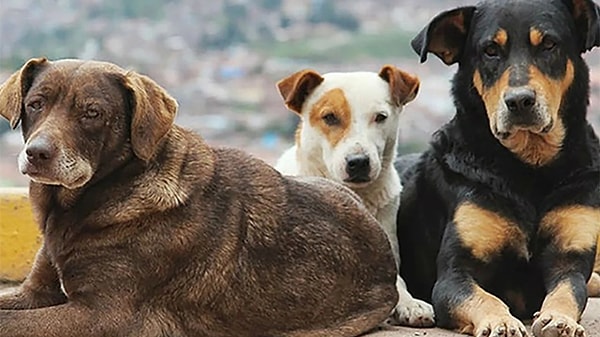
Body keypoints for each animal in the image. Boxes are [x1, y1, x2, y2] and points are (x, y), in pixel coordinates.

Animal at [0, 58, 398, 336]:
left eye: (92, 113)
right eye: (35, 104)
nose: (37, 153)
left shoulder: (99, 315)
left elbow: (7, 322)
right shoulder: (37, 292)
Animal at [398, 0, 600, 336]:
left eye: (549, 44)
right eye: (490, 50)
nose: (519, 101)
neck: (529, 168)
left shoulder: (569, 257)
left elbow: (568, 291)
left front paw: (559, 320)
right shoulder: (454, 273)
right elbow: (483, 297)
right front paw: (501, 321)